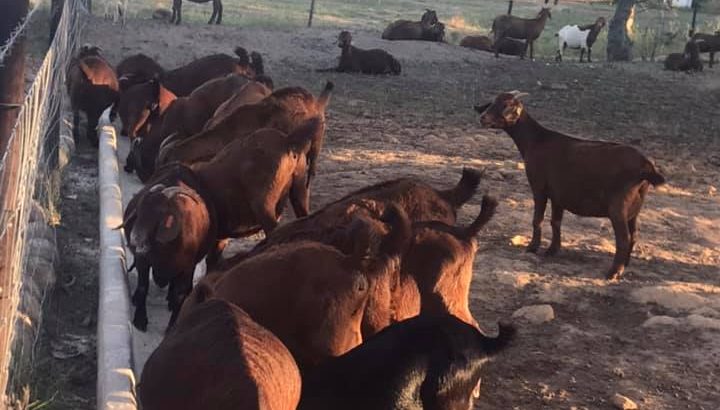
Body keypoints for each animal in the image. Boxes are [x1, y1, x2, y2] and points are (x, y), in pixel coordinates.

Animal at [475, 91, 665, 280]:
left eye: (506, 105)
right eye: (493, 102)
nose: (483, 118)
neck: (536, 140)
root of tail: (646, 166)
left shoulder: (539, 187)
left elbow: (537, 219)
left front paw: (532, 247)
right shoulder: (558, 195)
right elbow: (555, 222)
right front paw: (552, 250)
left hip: (618, 207)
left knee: (624, 239)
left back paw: (613, 272)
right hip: (634, 209)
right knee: (634, 235)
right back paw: (625, 265)